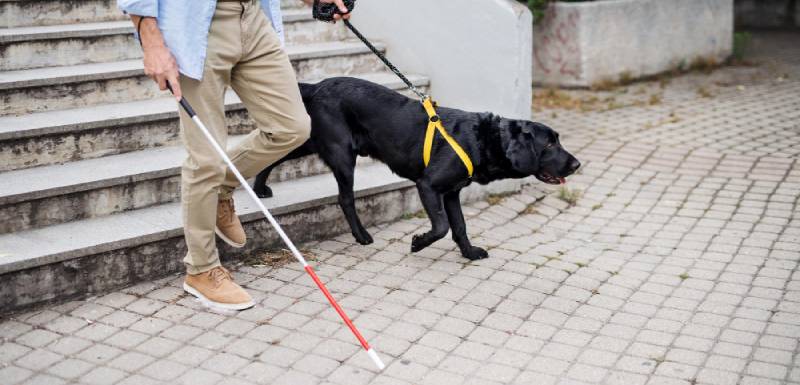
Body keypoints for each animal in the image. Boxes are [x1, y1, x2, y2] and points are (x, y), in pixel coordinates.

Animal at [253, 76, 580, 260]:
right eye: (549, 144)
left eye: (558, 140)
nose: (576, 164)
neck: (484, 138)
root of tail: (317, 86)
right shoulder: (429, 185)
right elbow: (441, 226)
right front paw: (418, 243)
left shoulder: (451, 192)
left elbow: (459, 226)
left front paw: (469, 253)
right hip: (342, 154)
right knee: (344, 198)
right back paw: (361, 236)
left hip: (309, 139)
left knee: (276, 151)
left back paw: (258, 188)